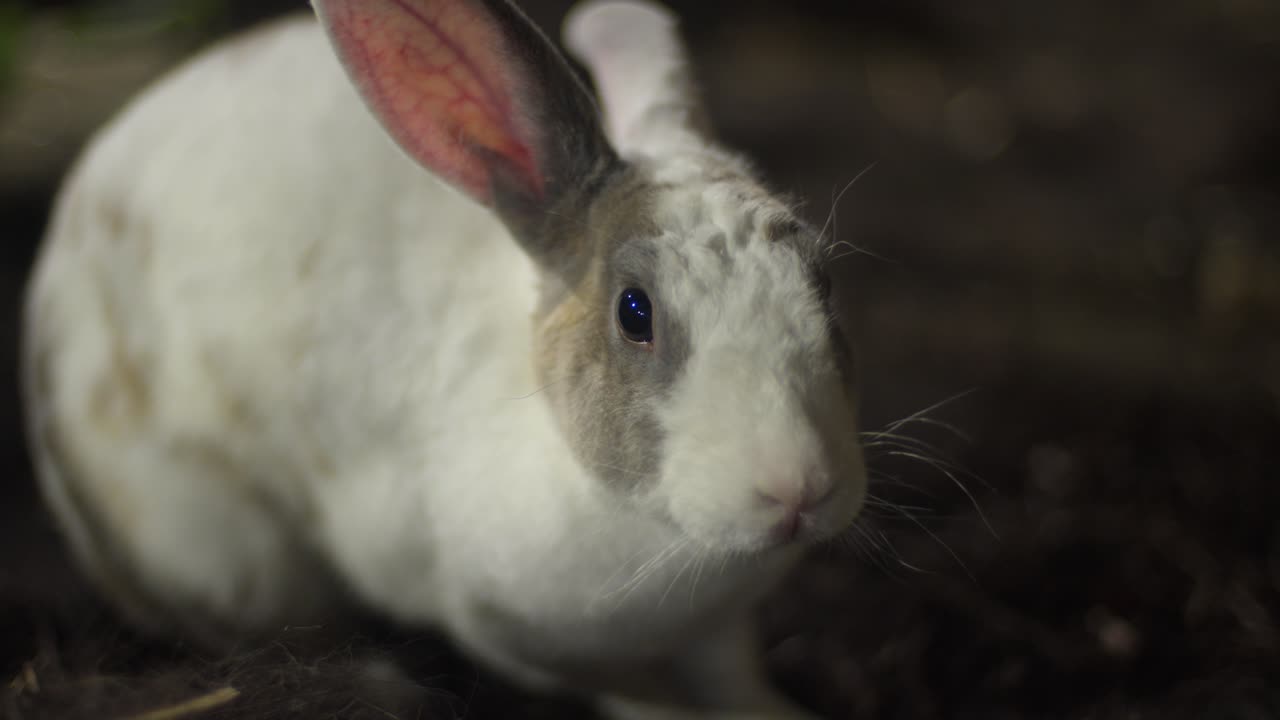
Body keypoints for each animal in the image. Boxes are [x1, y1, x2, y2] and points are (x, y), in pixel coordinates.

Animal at [22, 0, 867, 717]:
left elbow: (731, 674)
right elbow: (636, 696)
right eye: (636, 314)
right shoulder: (512, 636)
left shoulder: (721, 628)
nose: (798, 489)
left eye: (824, 280)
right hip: (226, 553)